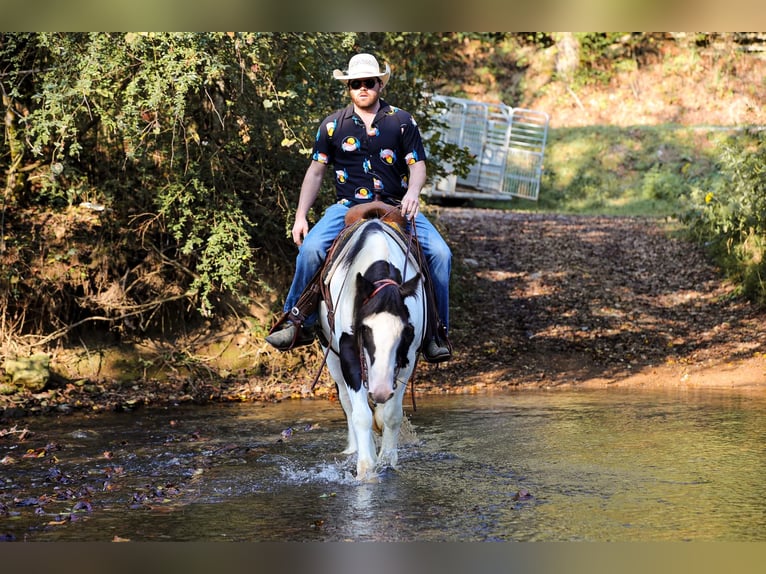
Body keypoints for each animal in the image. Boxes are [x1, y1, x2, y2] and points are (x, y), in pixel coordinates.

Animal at [316, 218, 426, 484]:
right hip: (331, 355)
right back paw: (354, 448)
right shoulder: (348, 354)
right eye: (364, 329)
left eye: (406, 331)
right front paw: (366, 468)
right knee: (347, 404)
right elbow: (361, 414)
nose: (381, 390)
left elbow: (391, 415)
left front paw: (387, 461)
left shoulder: (407, 358)